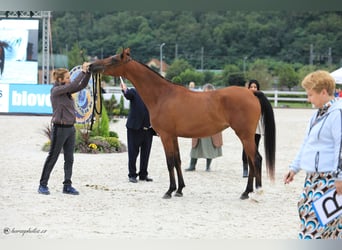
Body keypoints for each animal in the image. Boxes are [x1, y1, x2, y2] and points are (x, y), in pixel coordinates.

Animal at [89, 48, 276, 199]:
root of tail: (252, 93)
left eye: (114, 59)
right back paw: (250, 191)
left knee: (255, 159)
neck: (162, 95)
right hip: (247, 136)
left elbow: (170, 162)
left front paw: (169, 191)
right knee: (253, 160)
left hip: (245, 135)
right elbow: (178, 161)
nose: (91, 66)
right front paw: (179, 190)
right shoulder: (173, 136)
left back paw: (252, 192)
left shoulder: (166, 136)